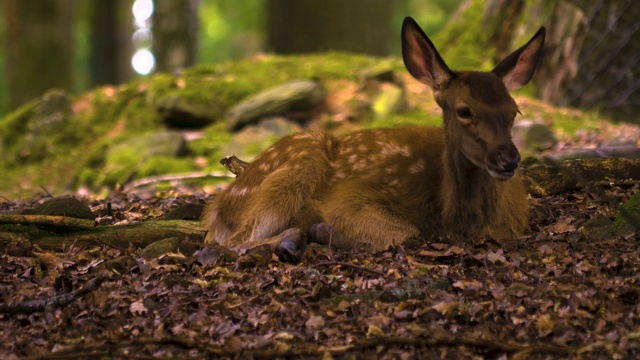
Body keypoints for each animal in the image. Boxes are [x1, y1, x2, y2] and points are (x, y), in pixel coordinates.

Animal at [204, 16, 544, 262]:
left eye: (514, 110)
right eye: (464, 110)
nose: (508, 159)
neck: (459, 221)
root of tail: (218, 207)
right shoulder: (350, 198)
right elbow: (406, 232)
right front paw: (322, 229)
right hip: (301, 160)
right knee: (232, 240)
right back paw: (290, 239)